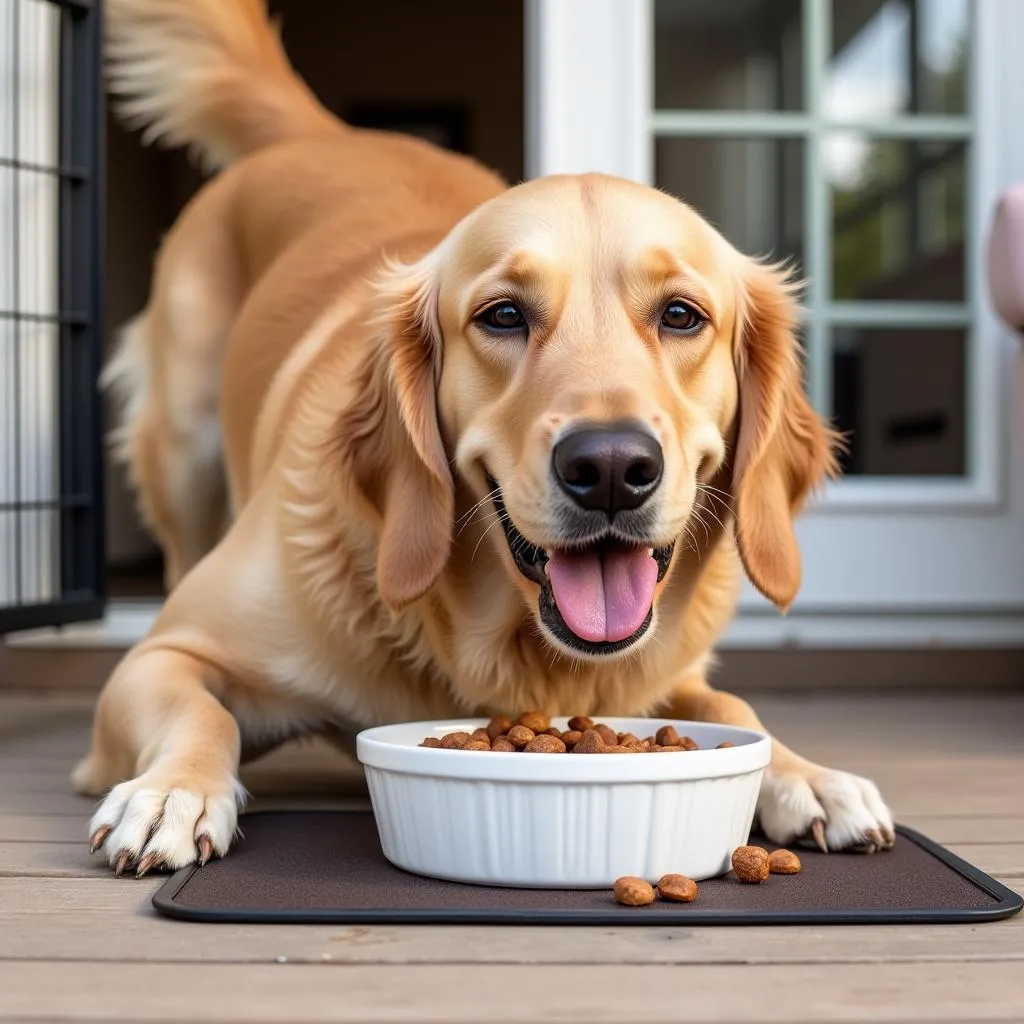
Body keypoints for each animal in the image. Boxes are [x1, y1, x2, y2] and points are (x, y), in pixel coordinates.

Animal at [77, 2, 897, 880]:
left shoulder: (665, 675)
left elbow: (732, 705)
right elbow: (204, 714)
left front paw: (805, 774)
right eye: (503, 315)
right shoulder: (162, 656)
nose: (612, 468)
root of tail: (327, 133)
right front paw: (174, 789)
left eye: (682, 315)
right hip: (182, 449)